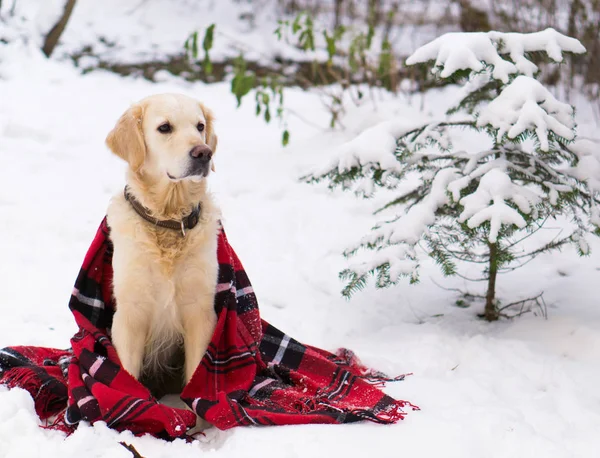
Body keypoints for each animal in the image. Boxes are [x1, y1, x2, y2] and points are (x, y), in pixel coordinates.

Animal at [104, 93, 219, 398]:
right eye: (164, 128)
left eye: (200, 126)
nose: (204, 153)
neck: (168, 220)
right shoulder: (130, 313)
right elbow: (127, 376)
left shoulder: (200, 310)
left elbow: (197, 377)